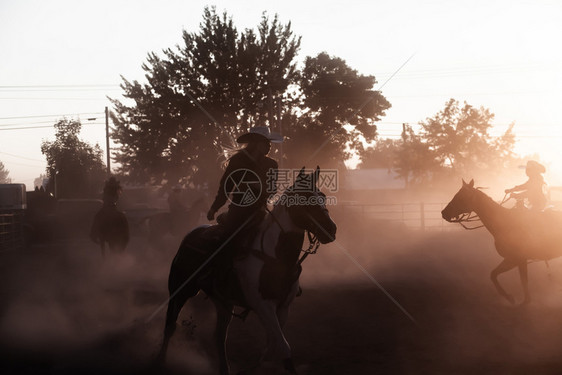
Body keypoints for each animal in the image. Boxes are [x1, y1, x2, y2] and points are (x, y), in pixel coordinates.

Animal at [155, 168, 334, 375]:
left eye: (322, 196)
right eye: (305, 197)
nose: (332, 229)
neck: (274, 255)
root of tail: (190, 235)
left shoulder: (283, 308)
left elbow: (273, 345)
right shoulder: (263, 305)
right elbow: (284, 347)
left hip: (223, 302)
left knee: (219, 336)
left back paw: (224, 369)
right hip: (180, 290)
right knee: (170, 325)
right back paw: (160, 361)